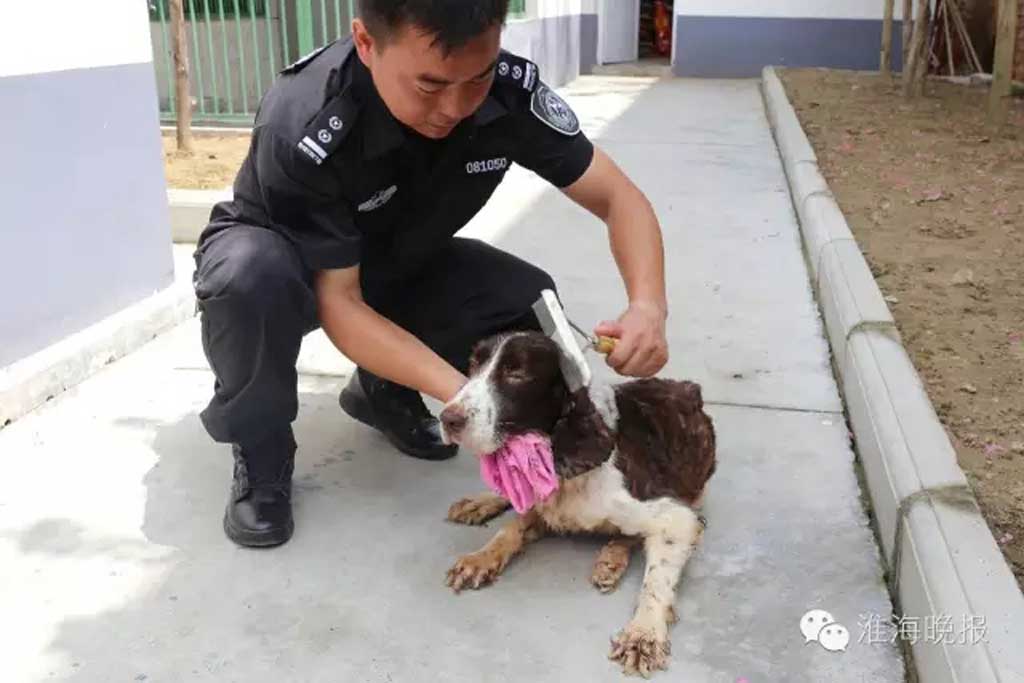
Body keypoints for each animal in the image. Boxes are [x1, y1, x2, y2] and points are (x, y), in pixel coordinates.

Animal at [439, 331, 717, 677]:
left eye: (517, 373)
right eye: (473, 365)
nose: (447, 419)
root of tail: (690, 387)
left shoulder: (677, 517)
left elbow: (656, 580)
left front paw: (643, 634)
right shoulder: (547, 503)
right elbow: (511, 528)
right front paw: (480, 558)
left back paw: (610, 559)